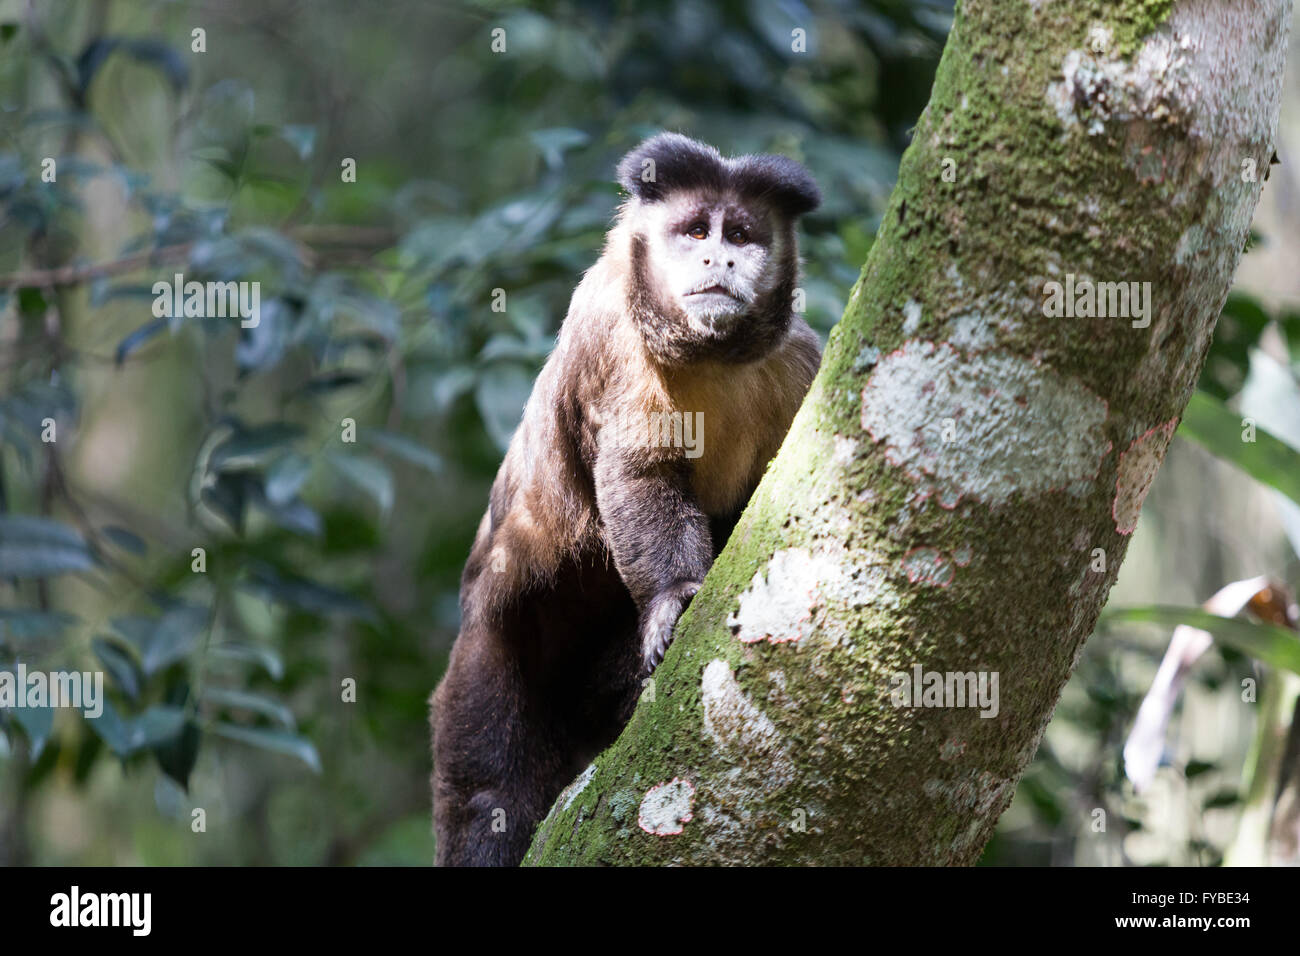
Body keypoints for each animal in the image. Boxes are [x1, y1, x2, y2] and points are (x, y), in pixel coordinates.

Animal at [431, 130, 816, 863]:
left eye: (741, 234)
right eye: (695, 231)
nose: (719, 257)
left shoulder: (801, 361)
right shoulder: (615, 332)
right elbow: (639, 477)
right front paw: (673, 597)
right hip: (487, 651)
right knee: (488, 796)